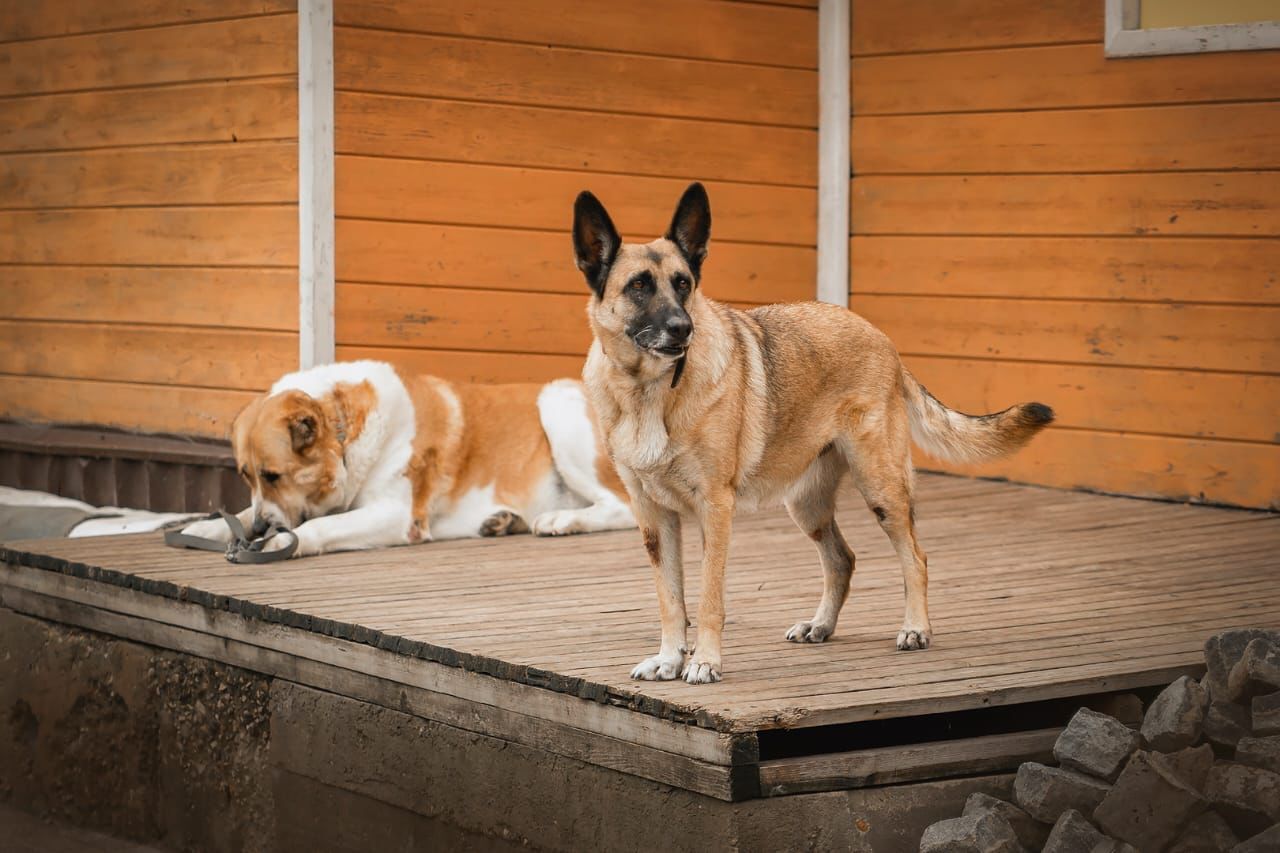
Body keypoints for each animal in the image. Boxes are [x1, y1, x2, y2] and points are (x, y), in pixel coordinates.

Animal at [181, 361, 634, 555]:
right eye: (247, 477)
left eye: (274, 475)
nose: (261, 528)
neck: (346, 437)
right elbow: (239, 514)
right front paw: (208, 529)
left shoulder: (396, 514)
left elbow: (322, 526)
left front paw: (281, 542)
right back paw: (502, 521)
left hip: (556, 401)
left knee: (622, 508)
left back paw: (561, 520)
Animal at [576, 183, 1054, 681]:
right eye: (638, 286)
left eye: (683, 283)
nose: (682, 329)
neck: (649, 391)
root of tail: (882, 338)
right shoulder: (655, 520)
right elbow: (670, 599)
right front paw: (670, 658)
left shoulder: (715, 509)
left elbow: (708, 599)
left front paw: (705, 661)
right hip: (806, 505)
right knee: (842, 560)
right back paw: (821, 625)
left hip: (881, 488)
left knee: (915, 557)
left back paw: (916, 628)